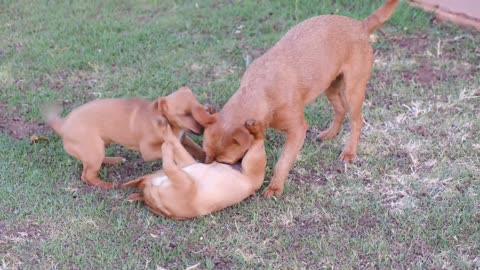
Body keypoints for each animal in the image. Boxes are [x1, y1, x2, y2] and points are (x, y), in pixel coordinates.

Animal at [42, 87, 204, 189]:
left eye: (200, 107)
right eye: (185, 114)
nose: (203, 129)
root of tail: (62, 124)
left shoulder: (183, 139)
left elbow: (196, 149)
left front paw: (204, 156)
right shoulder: (148, 151)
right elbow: (177, 151)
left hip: (99, 146)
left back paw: (115, 160)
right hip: (94, 149)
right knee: (87, 175)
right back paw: (108, 185)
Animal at [124, 118, 266, 219]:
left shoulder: (186, 162)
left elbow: (175, 143)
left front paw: (164, 128)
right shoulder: (184, 178)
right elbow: (172, 148)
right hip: (254, 158)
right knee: (259, 139)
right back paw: (253, 128)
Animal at [193, 0, 400, 198]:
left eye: (226, 162)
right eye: (207, 157)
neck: (260, 91)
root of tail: (360, 25)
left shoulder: (298, 130)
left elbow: (283, 162)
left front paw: (275, 188)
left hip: (353, 91)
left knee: (357, 121)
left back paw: (349, 152)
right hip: (330, 86)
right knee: (340, 110)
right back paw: (330, 133)